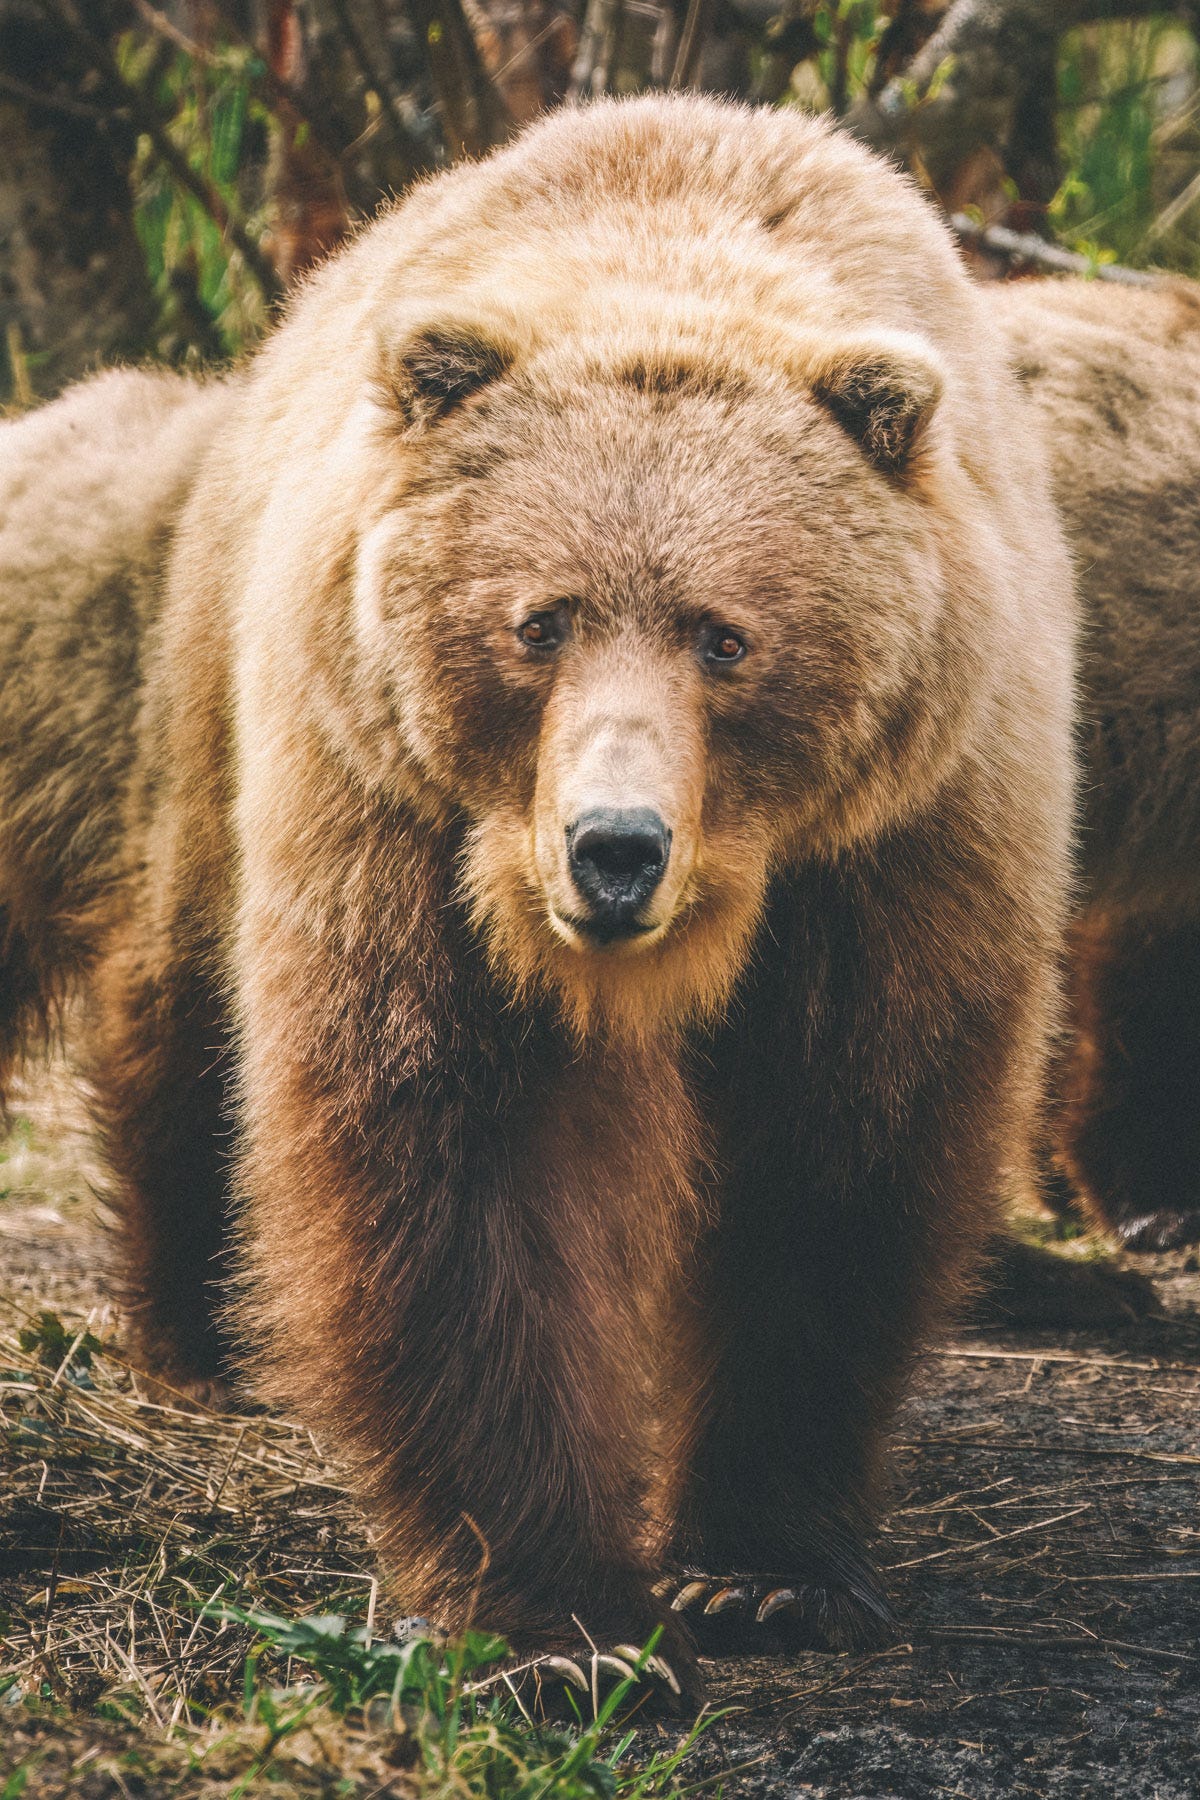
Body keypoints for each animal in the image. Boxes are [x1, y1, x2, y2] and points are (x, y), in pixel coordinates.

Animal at [0, 95, 1076, 1701]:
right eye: (541, 621)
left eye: (725, 637)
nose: (614, 848)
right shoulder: (409, 827)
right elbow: (455, 1154)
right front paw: (561, 1621)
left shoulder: (901, 848)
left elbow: (839, 1155)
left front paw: (761, 1570)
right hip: (209, 702)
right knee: (185, 1000)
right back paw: (207, 1329)